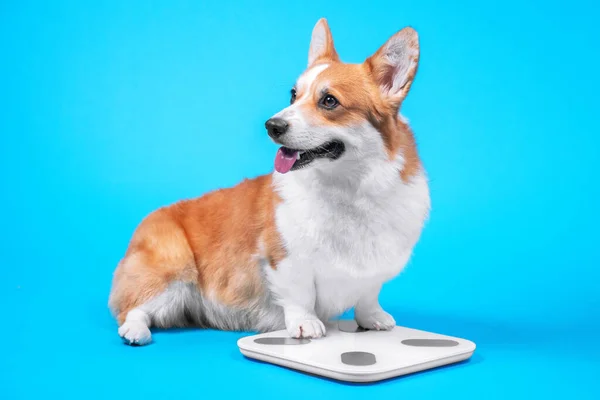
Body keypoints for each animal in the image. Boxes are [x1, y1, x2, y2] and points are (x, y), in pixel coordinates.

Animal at [108, 17, 426, 346]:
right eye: (293, 95)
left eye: (329, 101)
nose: (272, 125)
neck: (349, 188)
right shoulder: (285, 259)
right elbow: (300, 295)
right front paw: (305, 324)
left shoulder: (374, 270)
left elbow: (368, 294)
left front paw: (372, 318)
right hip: (174, 270)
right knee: (132, 308)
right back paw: (135, 331)